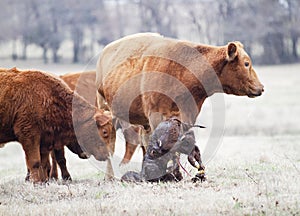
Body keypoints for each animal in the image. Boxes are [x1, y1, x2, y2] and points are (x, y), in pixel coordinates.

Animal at [95, 33, 262, 178]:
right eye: (246, 63)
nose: (261, 87)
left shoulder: (185, 118)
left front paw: (176, 174)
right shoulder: (157, 116)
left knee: (144, 141)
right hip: (106, 112)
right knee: (111, 146)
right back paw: (110, 176)